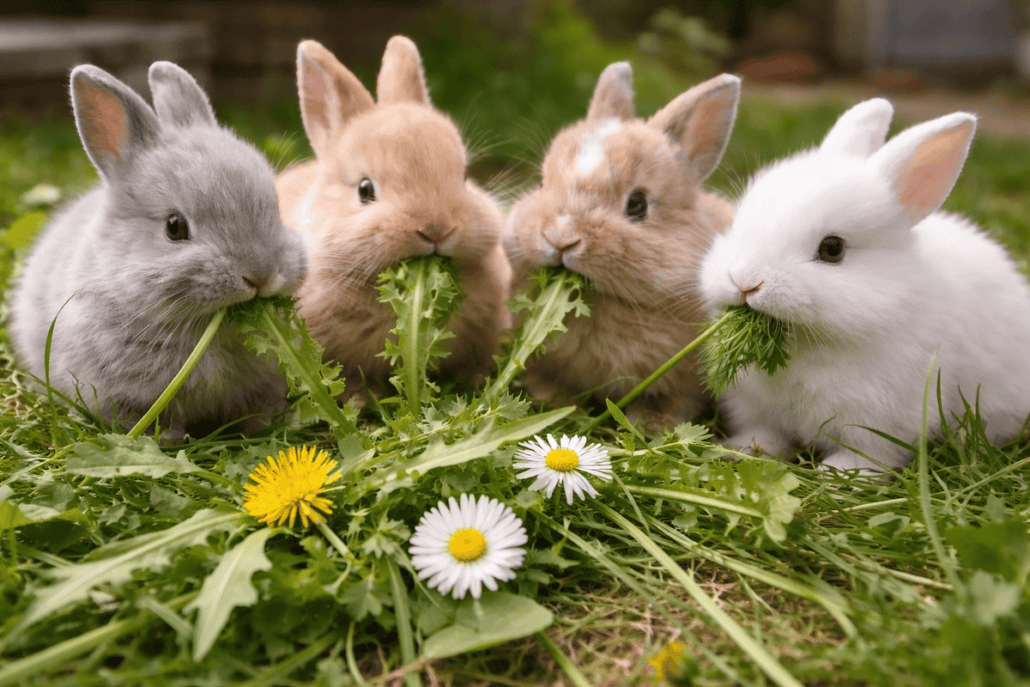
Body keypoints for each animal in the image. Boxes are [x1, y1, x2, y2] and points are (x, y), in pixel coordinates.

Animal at [8, 62, 309, 434]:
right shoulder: (120, 395)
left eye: (276, 209)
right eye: (174, 227)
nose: (261, 275)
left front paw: (265, 425)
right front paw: (168, 439)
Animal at [503, 62, 740, 427]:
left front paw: (651, 424)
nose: (560, 238)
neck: (603, 305)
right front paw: (553, 405)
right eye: (541, 184)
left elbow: (672, 402)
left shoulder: (682, 382)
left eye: (637, 204)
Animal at [698, 98, 1030, 472]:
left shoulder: (880, 420)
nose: (745, 281)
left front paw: (838, 473)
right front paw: (740, 450)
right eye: (738, 223)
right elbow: (767, 434)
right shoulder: (756, 408)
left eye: (832, 249)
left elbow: (868, 454)